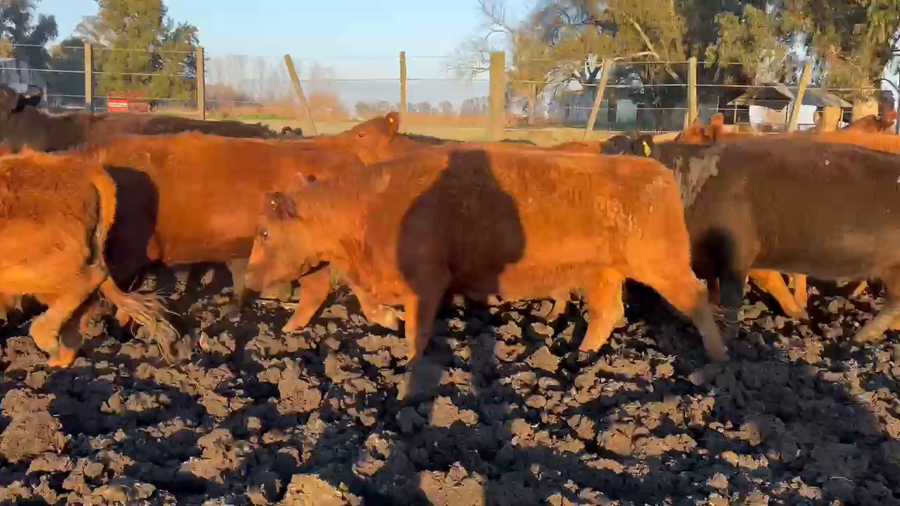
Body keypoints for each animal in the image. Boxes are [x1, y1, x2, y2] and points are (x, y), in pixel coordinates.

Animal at [244, 146, 728, 363]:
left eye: (264, 231)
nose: (247, 280)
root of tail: (656, 171)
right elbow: (369, 303)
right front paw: (388, 320)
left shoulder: (427, 279)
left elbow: (416, 330)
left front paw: (410, 361)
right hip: (603, 272)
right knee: (608, 313)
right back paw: (580, 358)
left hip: (661, 264)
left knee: (696, 297)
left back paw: (719, 359)